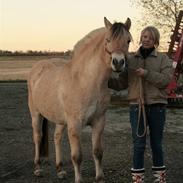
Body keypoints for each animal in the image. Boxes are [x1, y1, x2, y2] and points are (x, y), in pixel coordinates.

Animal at [27, 17, 132, 183]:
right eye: (108, 40)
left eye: (128, 40)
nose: (118, 63)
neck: (86, 80)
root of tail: (37, 68)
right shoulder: (75, 124)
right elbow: (77, 156)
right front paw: (79, 179)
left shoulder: (99, 121)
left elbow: (97, 152)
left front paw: (100, 178)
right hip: (36, 114)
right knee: (37, 138)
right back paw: (38, 168)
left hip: (61, 120)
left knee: (56, 138)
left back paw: (60, 170)